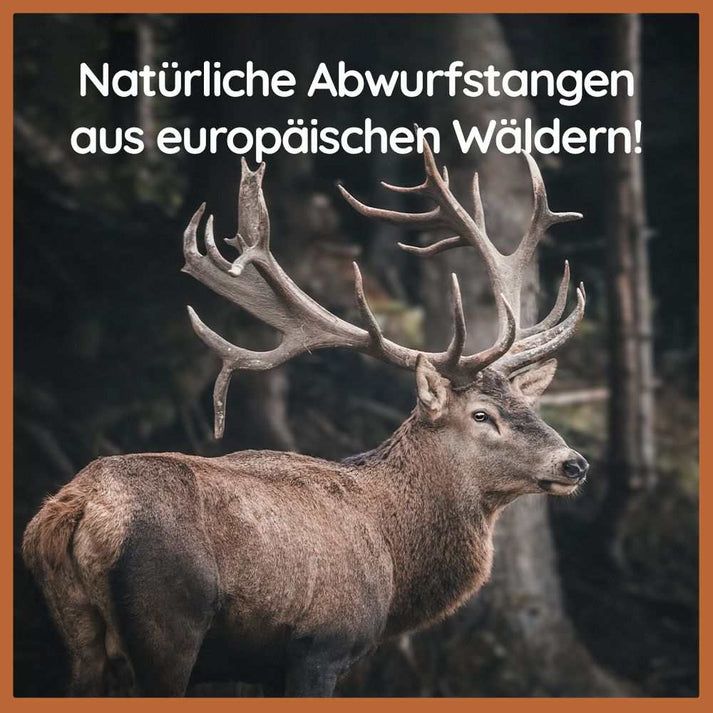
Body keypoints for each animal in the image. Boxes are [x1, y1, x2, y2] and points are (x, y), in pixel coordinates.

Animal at [23, 143, 589, 697]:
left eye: (528, 407)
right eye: (481, 415)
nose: (574, 463)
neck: (395, 562)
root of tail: (76, 509)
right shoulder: (322, 645)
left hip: (76, 638)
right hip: (168, 624)